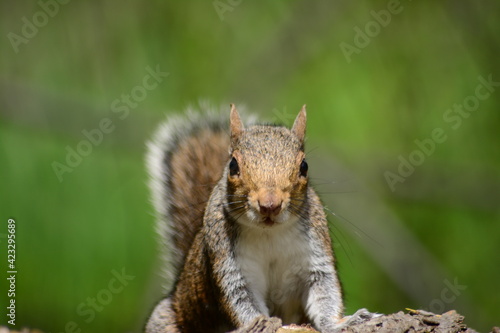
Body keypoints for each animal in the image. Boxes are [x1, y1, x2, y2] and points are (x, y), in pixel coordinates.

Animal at [145, 104, 376, 332]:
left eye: (304, 166)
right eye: (233, 166)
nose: (269, 205)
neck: (269, 233)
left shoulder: (315, 256)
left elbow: (324, 291)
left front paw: (343, 322)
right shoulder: (229, 266)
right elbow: (242, 301)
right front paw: (260, 324)